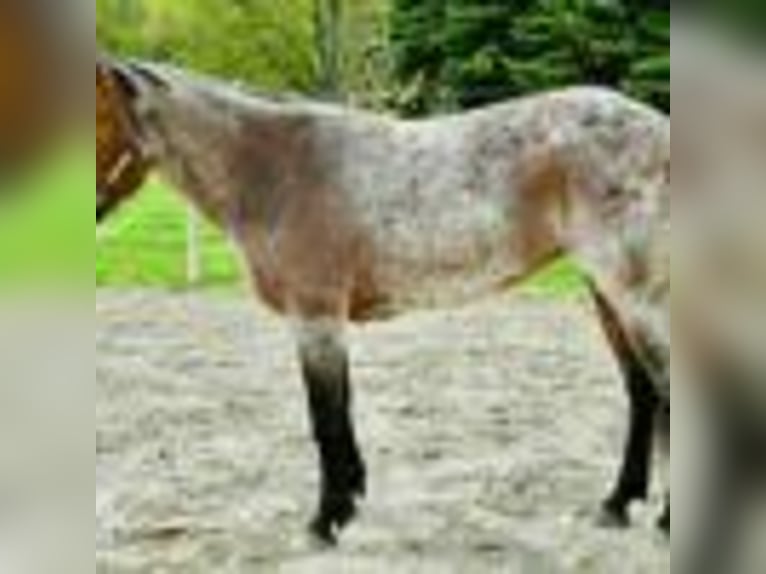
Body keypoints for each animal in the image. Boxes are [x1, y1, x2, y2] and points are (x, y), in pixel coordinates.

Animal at [96, 57, 670, 545]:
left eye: (96, 113)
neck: (275, 168)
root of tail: (659, 128)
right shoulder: (325, 323)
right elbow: (340, 412)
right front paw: (349, 502)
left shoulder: (317, 318)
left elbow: (325, 418)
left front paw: (325, 522)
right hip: (606, 293)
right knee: (642, 394)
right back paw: (617, 504)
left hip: (635, 296)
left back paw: (662, 521)